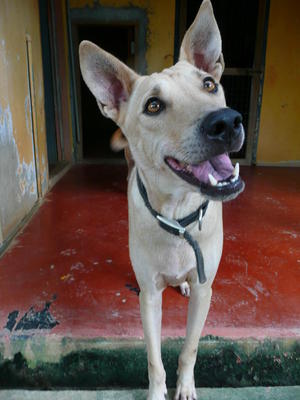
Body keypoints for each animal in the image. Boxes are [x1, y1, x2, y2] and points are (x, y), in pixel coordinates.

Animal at [79, 1, 244, 398]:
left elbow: (190, 348)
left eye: (209, 84)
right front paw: (157, 391)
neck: (177, 216)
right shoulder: (149, 296)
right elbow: (154, 358)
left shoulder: (204, 290)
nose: (226, 122)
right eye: (153, 106)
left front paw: (185, 386)